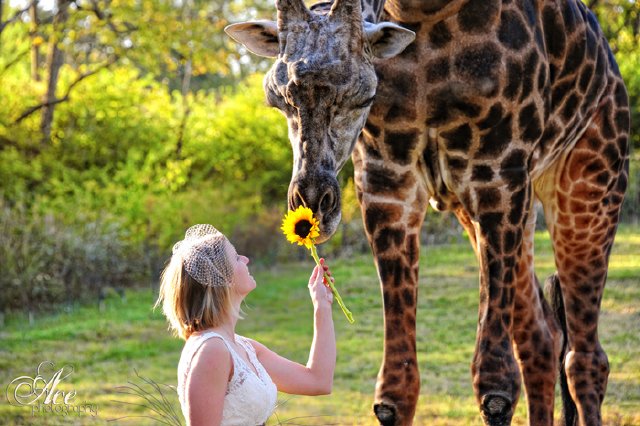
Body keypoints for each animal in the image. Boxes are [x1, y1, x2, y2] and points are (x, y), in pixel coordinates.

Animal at [226, 0, 630, 425]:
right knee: (542, 336)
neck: (422, 16)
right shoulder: (386, 184)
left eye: (364, 96)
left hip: (590, 183)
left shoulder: (499, 174)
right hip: (485, 212)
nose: (312, 208)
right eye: (276, 100)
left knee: (586, 360)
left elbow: (496, 389)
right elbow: (394, 392)